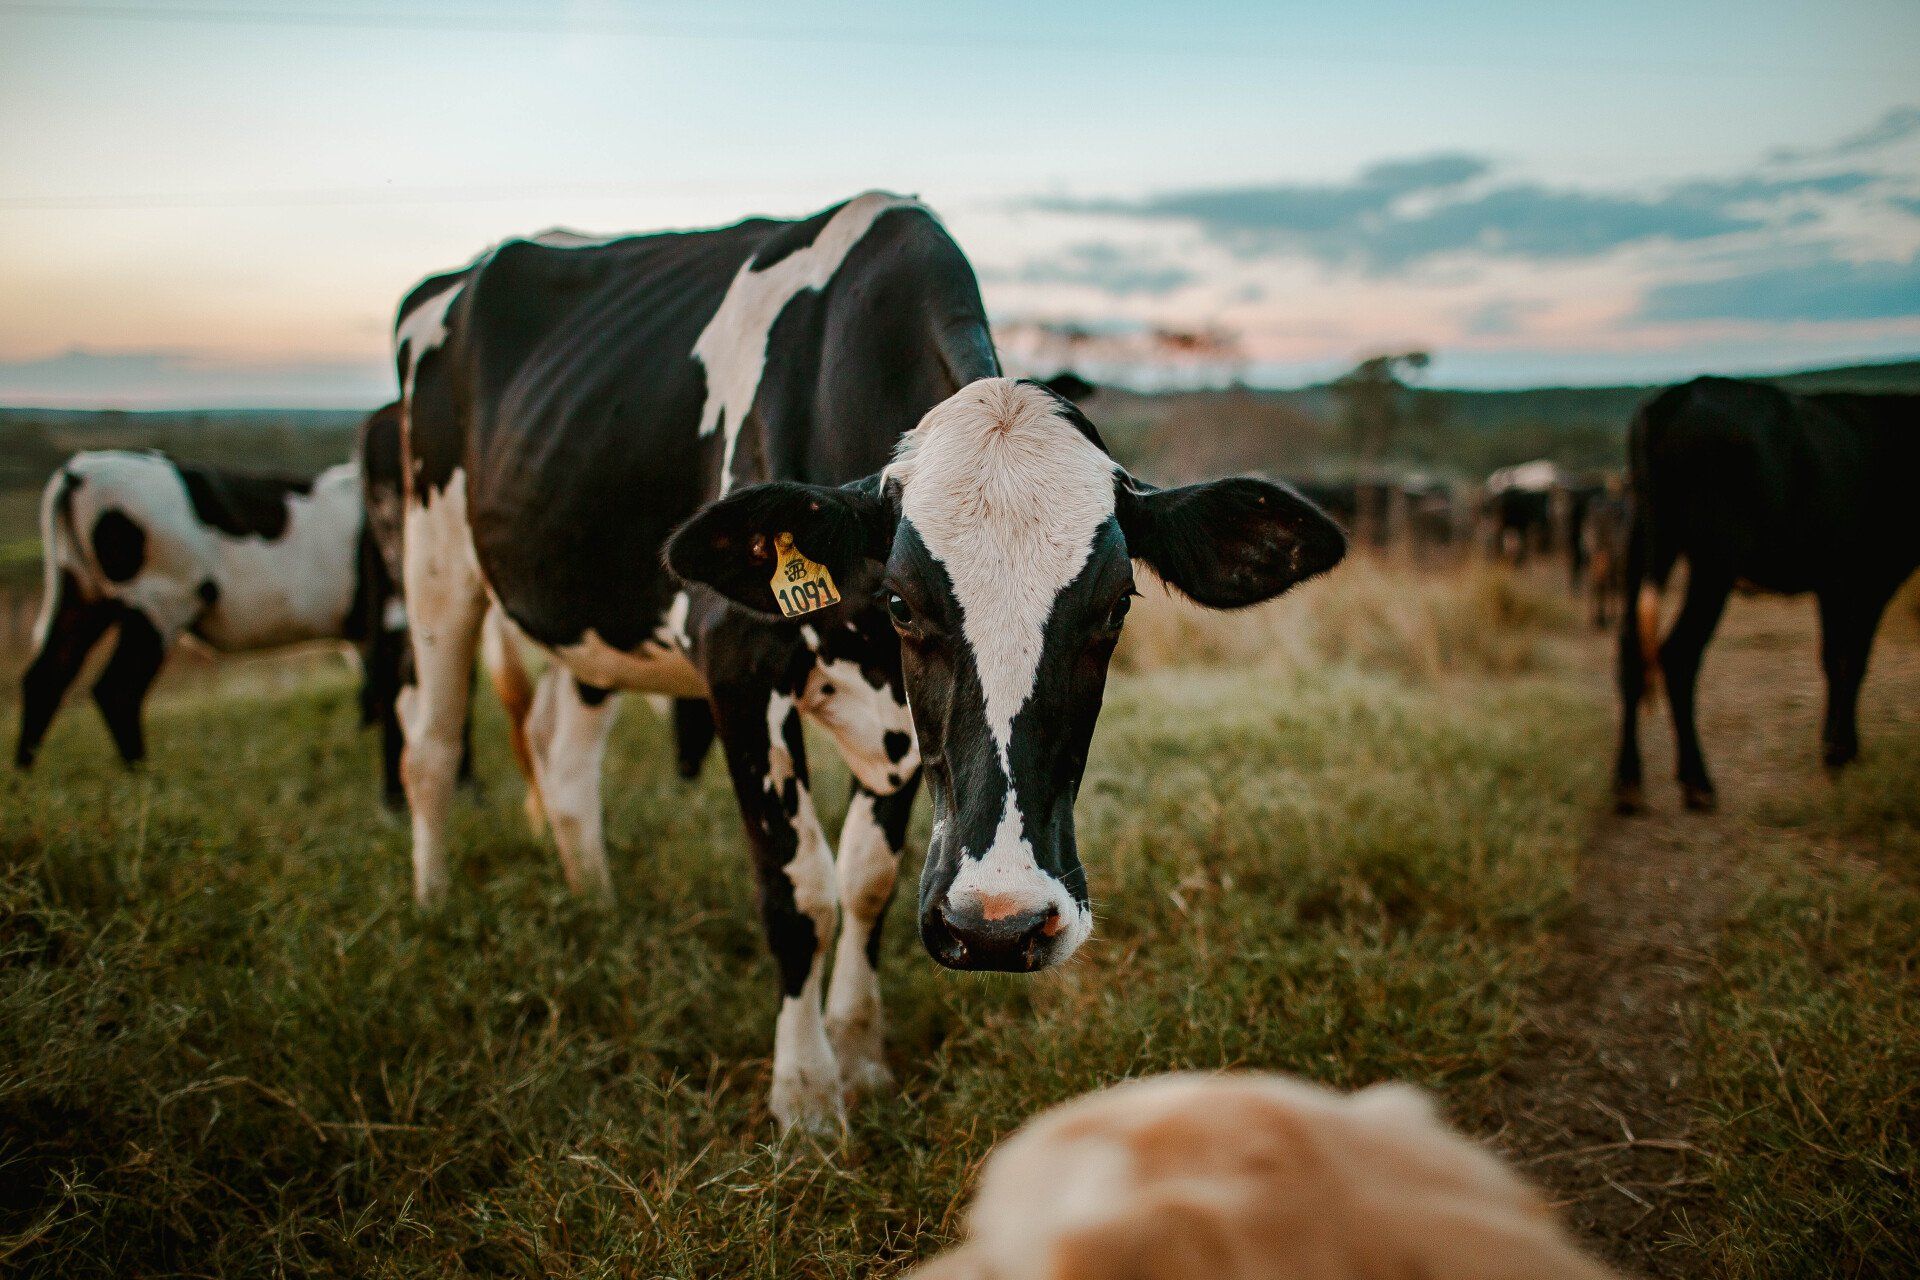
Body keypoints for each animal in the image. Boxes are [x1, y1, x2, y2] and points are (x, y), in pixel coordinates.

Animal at [14, 445, 401, 787]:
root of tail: (81, 470)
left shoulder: (364, 636)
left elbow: (373, 695)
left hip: (82, 594)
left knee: (46, 676)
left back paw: (23, 780)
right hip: (160, 598)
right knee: (117, 689)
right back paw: (145, 781)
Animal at [393, 193, 1345, 1132]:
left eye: (1115, 608)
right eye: (900, 604)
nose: (1000, 927)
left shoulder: (901, 728)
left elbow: (867, 881)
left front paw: (859, 1054)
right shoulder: (737, 667)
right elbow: (799, 892)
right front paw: (806, 1095)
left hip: (587, 618)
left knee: (563, 762)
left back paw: (594, 903)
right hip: (433, 559)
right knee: (430, 747)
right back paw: (433, 909)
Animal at [1614, 377, 1920, 813]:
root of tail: (1678, 395)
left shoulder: (1832, 582)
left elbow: (1833, 658)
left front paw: (1832, 746)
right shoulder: (1869, 580)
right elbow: (1854, 661)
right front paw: (1843, 750)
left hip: (1644, 543)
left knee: (1630, 649)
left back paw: (1628, 783)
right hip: (1714, 560)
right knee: (1679, 653)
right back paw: (1697, 783)